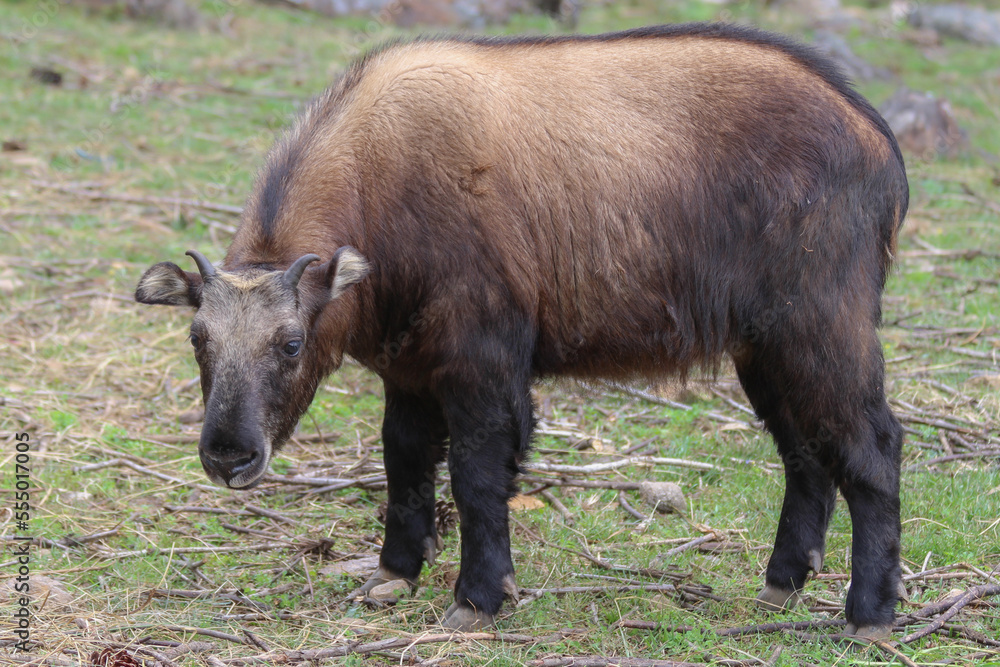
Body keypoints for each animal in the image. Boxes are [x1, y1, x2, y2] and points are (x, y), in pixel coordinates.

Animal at [135, 23, 908, 637]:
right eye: (198, 338)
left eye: (291, 342)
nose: (229, 457)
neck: (382, 182)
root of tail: (878, 141)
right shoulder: (410, 371)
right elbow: (405, 465)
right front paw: (394, 574)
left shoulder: (483, 365)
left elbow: (477, 477)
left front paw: (478, 597)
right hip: (766, 350)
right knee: (806, 453)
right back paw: (782, 582)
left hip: (821, 330)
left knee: (874, 448)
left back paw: (869, 614)